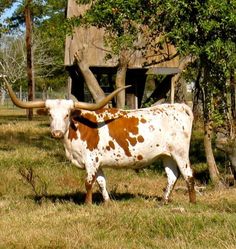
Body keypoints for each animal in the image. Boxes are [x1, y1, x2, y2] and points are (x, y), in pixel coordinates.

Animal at [5, 82, 195, 204]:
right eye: (50, 115)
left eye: (67, 114)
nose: (57, 133)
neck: (78, 127)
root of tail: (179, 106)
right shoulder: (99, 163)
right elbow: (102, 182)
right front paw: (107, 202)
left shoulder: (91, 160)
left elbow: (89, 182)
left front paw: (87, 204)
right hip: (166, 155)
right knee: (172, 176)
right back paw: (163, 201)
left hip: (180, 153)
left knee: (188, 175)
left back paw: (192, 203)